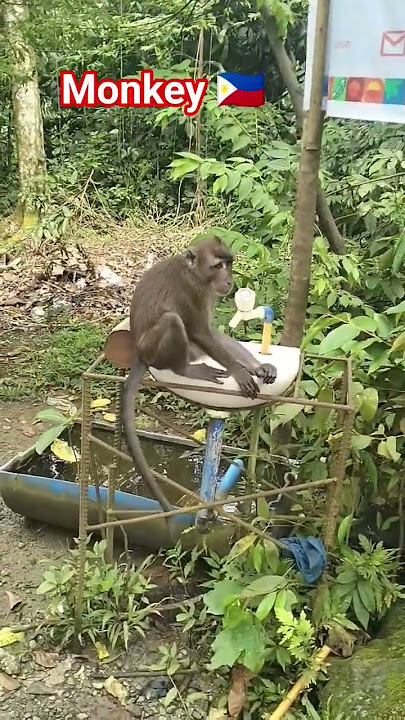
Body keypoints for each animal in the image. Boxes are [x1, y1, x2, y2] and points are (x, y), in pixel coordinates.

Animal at [122, 235, 277, 512]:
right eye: (217, 266)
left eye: (228, 263)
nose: (229, 279)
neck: (195, 274)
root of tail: (140, 354)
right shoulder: (190, 290)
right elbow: (200, 332)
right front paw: (239, 371)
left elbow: (212, 333)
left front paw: (257, 365)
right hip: (153, 349)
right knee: (173, 321)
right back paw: (185, 369)